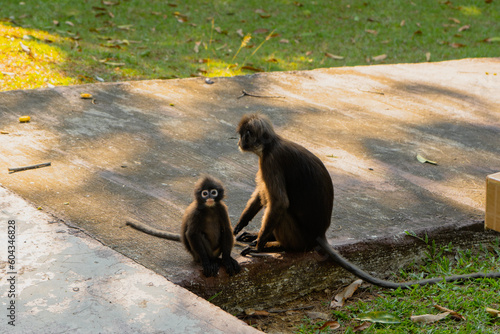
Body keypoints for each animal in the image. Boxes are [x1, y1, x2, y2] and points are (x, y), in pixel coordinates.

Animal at [234, 113, 500, 288]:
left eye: (244, 135)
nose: (238, 142)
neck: (271, 144)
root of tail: (320, 234)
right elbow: (262, 194)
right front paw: (242, 224)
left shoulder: (271, 160)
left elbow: (279, 202)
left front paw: (259, 246)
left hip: (299, 236)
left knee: (282, 212)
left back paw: (275, 245)